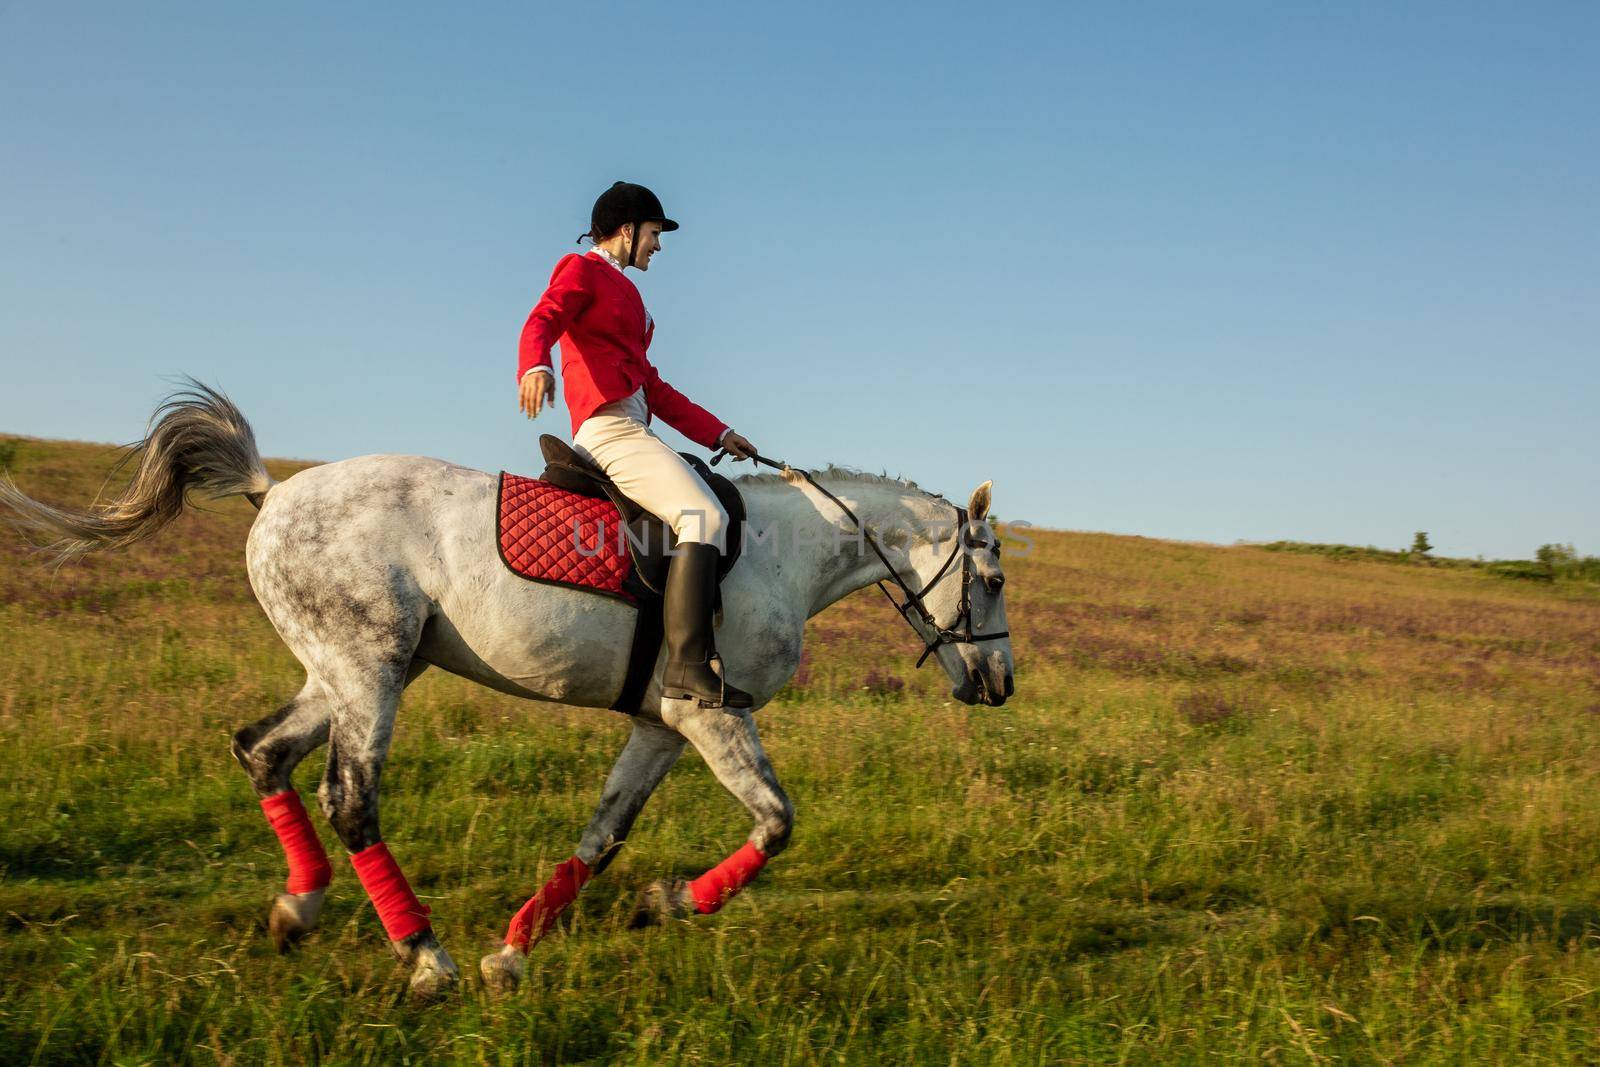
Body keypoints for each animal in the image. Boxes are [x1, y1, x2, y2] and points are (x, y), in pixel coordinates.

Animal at [0, 385, 1017, 1004]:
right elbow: (775, 823)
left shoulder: (662, 725)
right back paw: (425, 959)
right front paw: (669, 903)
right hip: (368, 673)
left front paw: (517, 949)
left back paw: (300, 909)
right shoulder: (711, 715)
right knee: (350, 798)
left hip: (350, 669)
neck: (781, 552)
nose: (1001, 684)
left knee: (263, 751)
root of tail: (271, 494)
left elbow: (603, 837)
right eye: (997, 578)